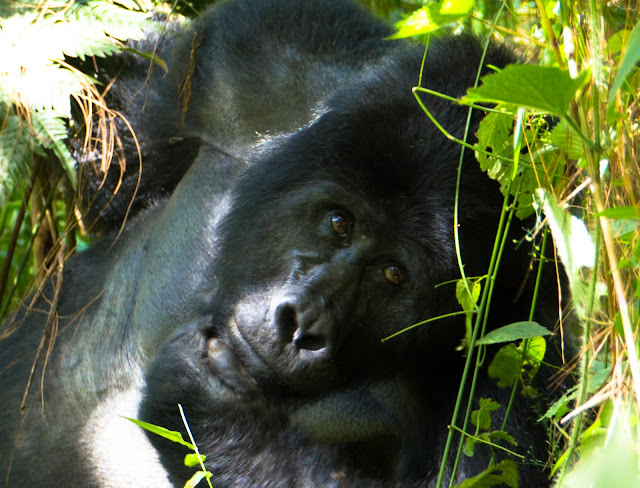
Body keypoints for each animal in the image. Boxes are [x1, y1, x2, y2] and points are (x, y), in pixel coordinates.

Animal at [0, 0, 568, 486]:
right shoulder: (267, 48)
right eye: (340, 223)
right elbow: (117, 152)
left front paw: (210, 404)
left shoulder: (514, 357)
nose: (302, 325)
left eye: (393, 273)